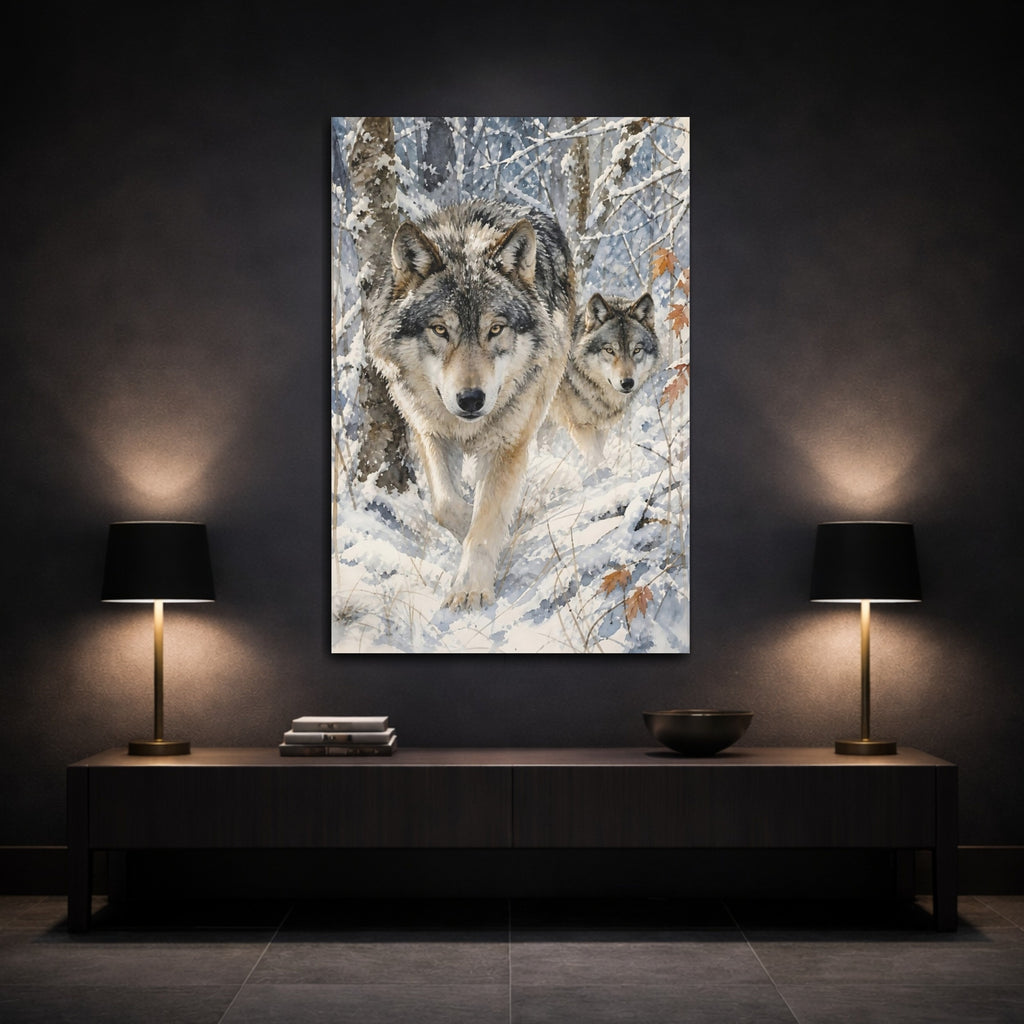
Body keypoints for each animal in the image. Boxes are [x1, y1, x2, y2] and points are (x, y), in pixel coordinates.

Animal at [364, 198, 575, 610]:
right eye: (440, 329)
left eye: (495, 329)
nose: (471, 399)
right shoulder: (429, 432)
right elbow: (447, 507)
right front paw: (472, 533)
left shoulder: (508, 443)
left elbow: (486, 519)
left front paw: (470, 588)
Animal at [549, 292, 662, 468]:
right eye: (609, 350)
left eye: (637, 350)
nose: (627, 383)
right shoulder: (581, 427)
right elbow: (596, 458)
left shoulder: (602, 427)